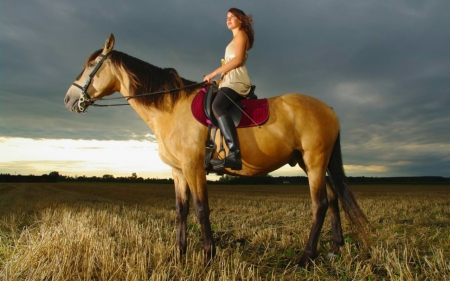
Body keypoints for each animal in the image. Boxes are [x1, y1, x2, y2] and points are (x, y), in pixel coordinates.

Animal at [64, 34, 370, 266]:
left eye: (91, 65)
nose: (68, 99)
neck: (171, 108)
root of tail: (328, 108)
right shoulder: (178, 171)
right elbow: (181, 211)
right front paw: (179, 254)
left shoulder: (193, 167)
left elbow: (201, 209)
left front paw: (208, 257)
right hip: (311, 163)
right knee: (333, 198)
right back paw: (334, 248)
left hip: (315, 162)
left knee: (320, 204)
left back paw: (306, 258)